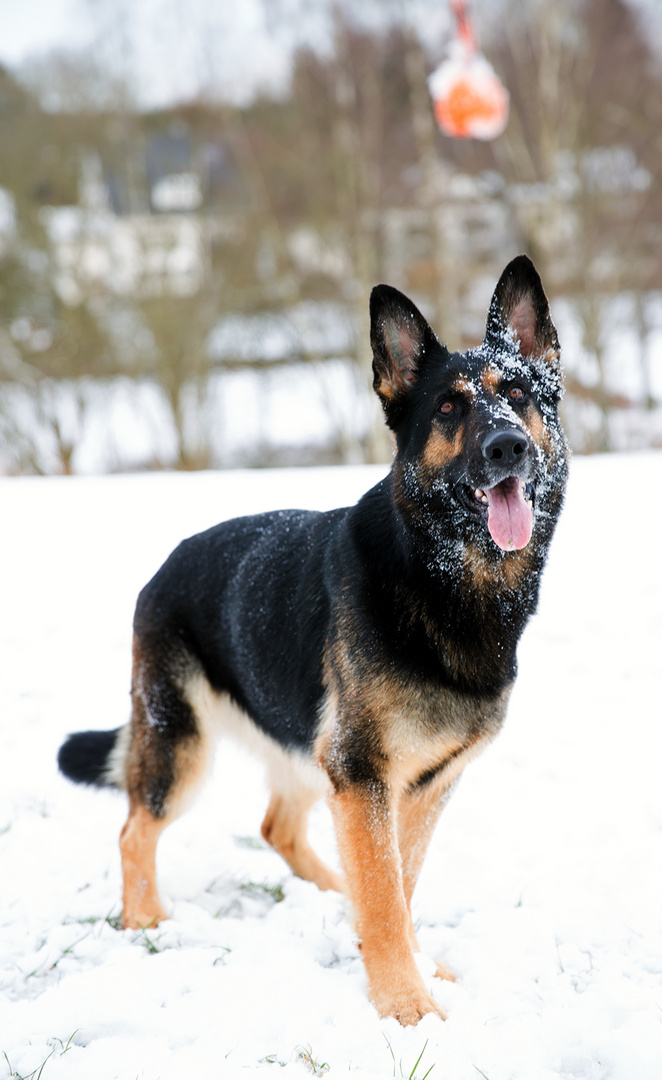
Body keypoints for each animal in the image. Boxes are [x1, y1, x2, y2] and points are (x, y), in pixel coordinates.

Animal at [58, 257, 565, 1023]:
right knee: (134, 829)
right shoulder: (362, 774)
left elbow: (398, 881)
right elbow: (385, 892)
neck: (442, 580)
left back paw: (331, 893)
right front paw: (406, 1008)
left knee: (280, 828)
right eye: (449, 409)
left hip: (304, 748)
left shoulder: (420, 784)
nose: (507, 445)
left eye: (516, 394)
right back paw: (145, 919)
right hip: (186, 745)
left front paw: (404, 965)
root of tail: (165, 564)